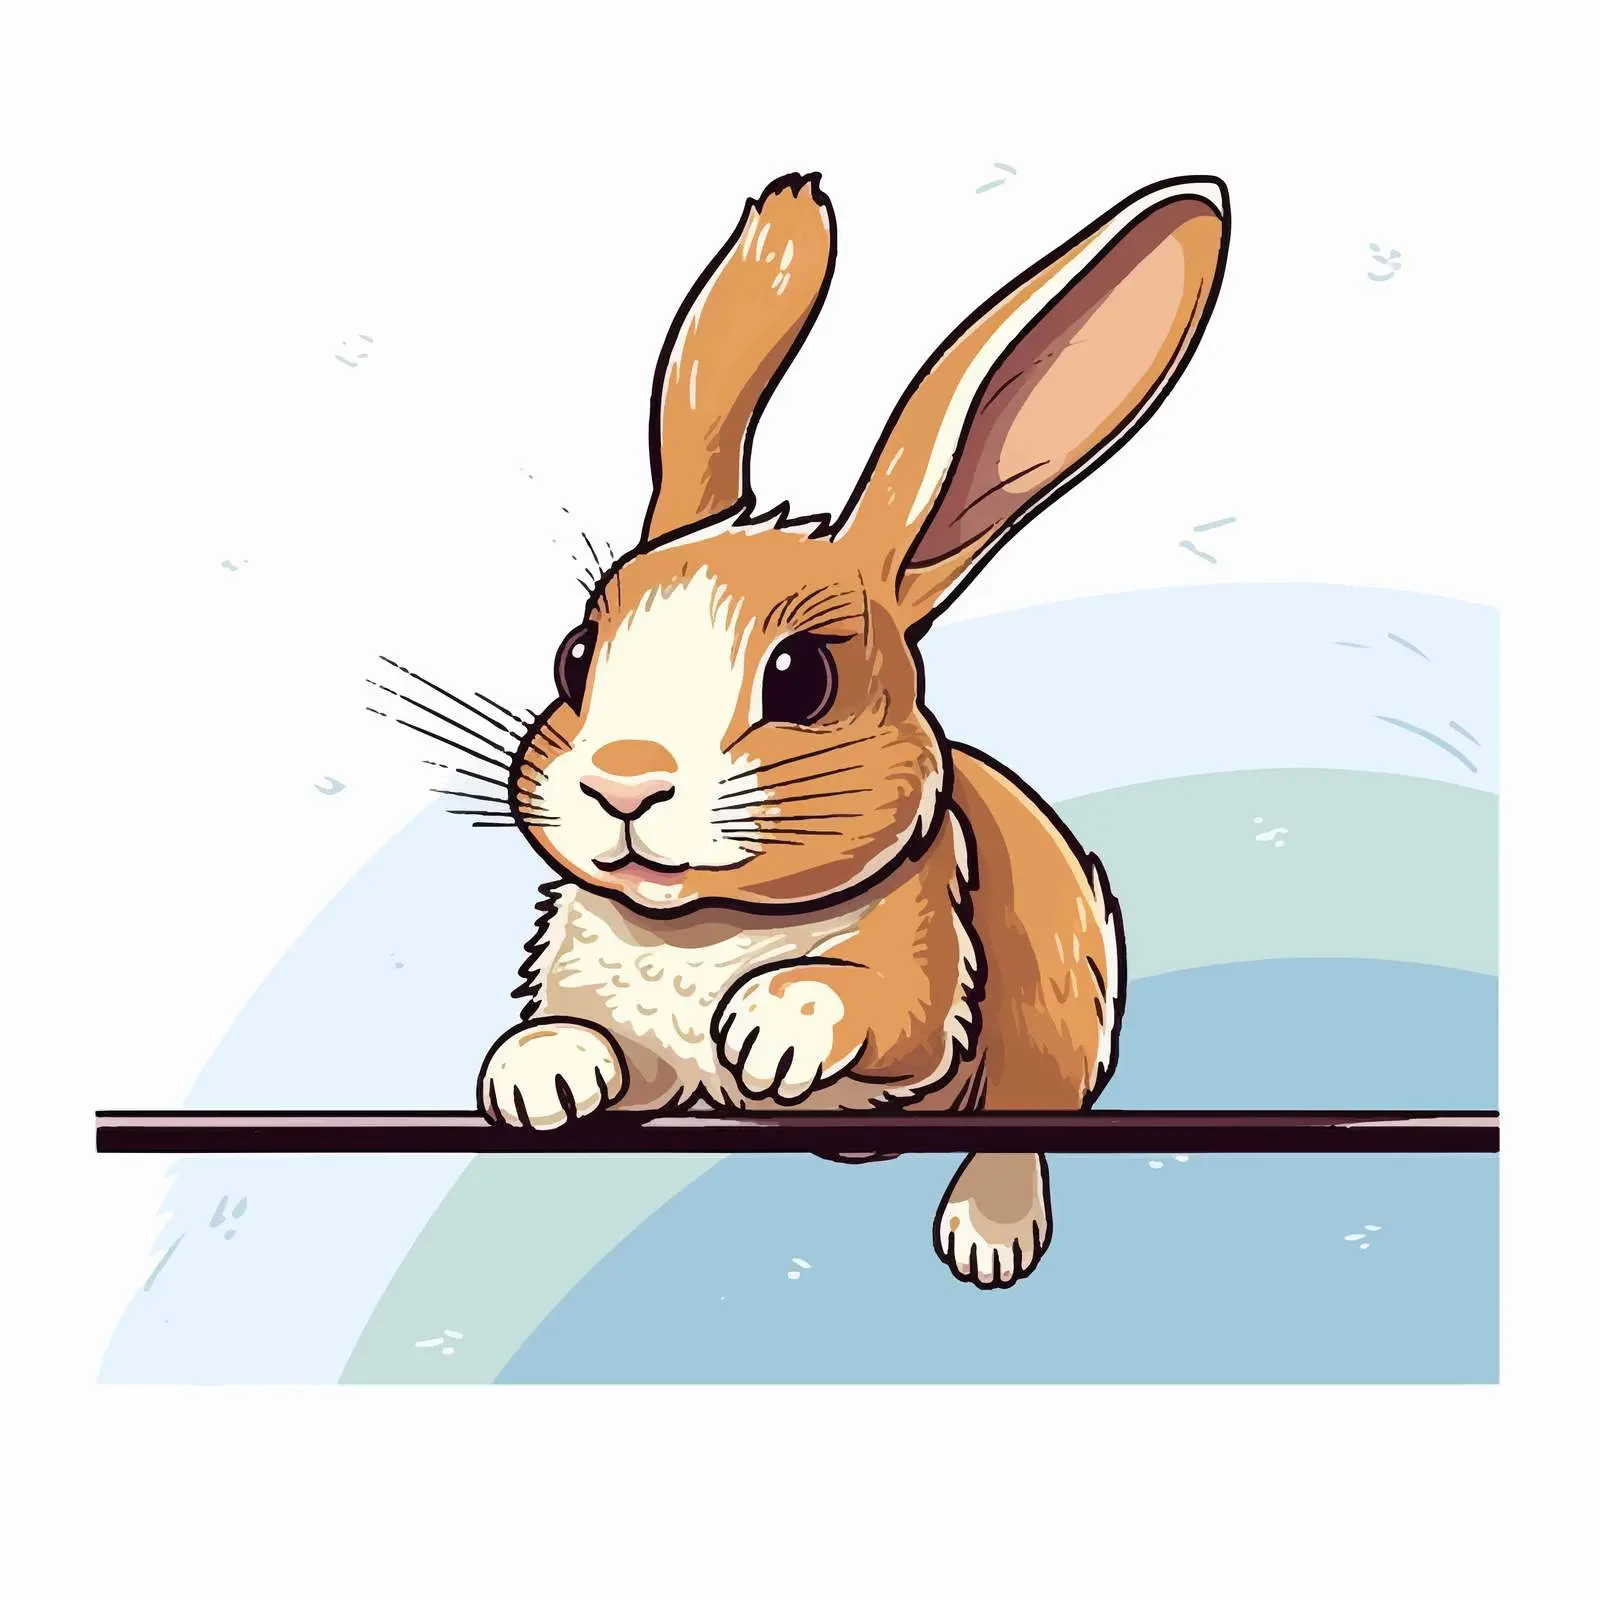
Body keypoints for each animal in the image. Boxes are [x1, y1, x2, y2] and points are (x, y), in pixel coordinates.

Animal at [479, 171, 1229, 1287]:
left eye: (802, 678)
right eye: (576, 658)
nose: (624, 784)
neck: (702, 925)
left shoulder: (928, 982)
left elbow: (871, 1006)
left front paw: (774, 1026)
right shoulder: (628, 1031)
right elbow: (592, 1046)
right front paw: (535, 1074)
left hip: (1056, 1017)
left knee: (1023, 1125)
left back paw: (989, 1234)